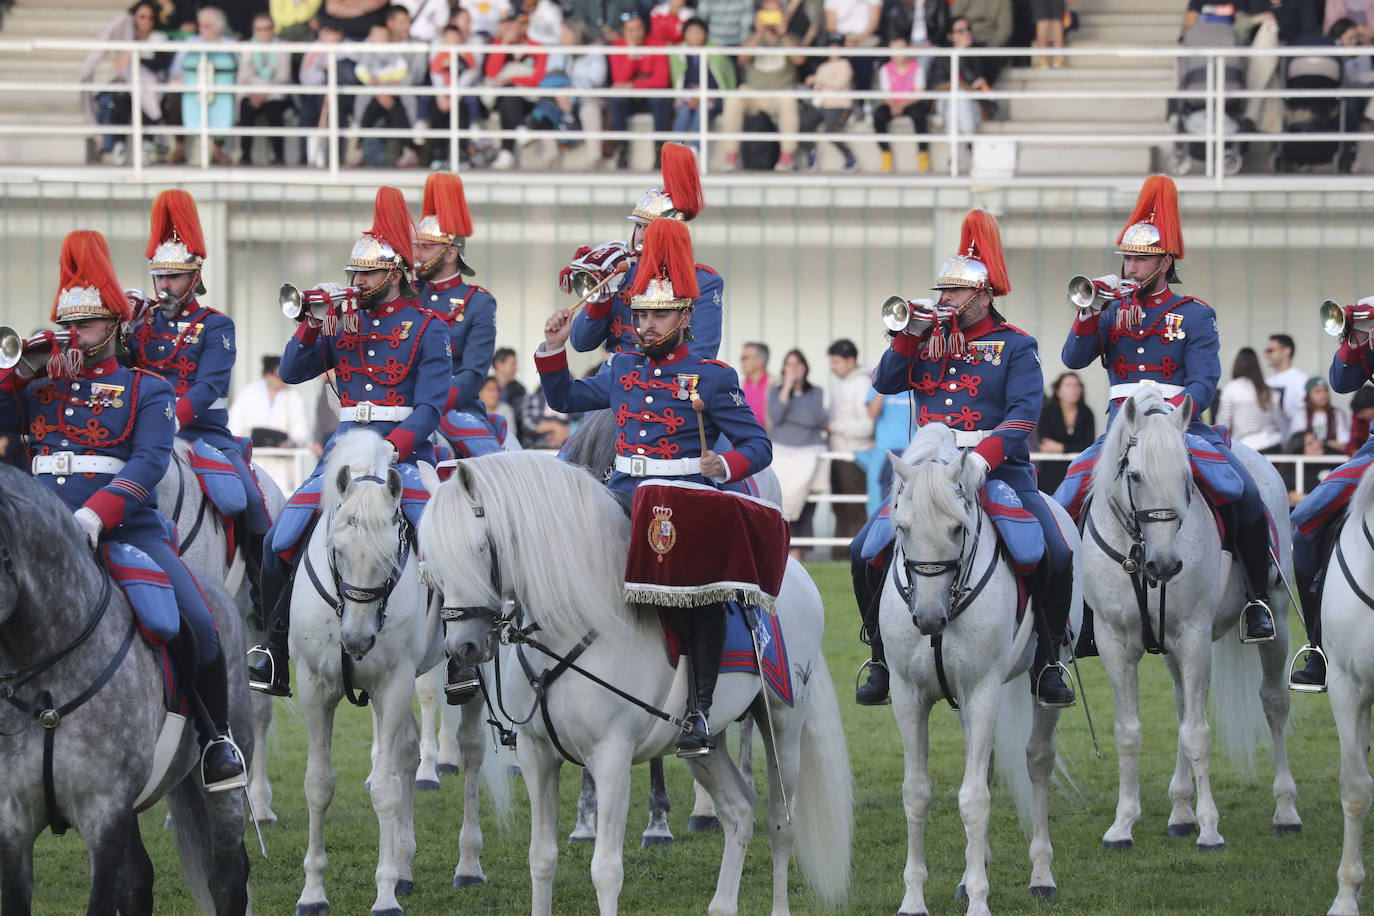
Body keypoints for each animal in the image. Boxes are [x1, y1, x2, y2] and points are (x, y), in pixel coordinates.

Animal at [287, 431, 442, 916]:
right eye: (336, 551)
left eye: (391, 555)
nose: (356, 642)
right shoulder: (314, 688)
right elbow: (318, 784)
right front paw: (312, 893)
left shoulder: (392, 684)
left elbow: (386, 790)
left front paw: (385, 894)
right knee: (408, 749)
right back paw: (406, 865)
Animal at [417, 453, 846, 916]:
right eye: (432, 560)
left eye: (479, 548)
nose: (462, 647)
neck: (572, 627)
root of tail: (796, 572)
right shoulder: (537, 754)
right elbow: (541, 857)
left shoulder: (611, 758)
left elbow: (606, 870)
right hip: (705, 743)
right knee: (739, 811)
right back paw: (722, 903)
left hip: (783, 723)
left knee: (780, 820)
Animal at [879, 428, 1082, 916]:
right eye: (902, 527)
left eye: (958, 528)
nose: (929, 619)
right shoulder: (910, 695)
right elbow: (917, 792)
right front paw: (914, 899)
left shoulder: (983, 689)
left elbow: (973, 799)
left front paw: (979, 901)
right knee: (984, 763)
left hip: (1042, 683)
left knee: (1037, 761)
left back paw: (1041, 876)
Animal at [1082, 392, 1297, 851]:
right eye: (1136, 476)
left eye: (1186, 476)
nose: (1165, 565)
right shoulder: (1114, 644)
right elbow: (1129, 732)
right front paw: (1122, 825)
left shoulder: (1194, 638)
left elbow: (1198, 733)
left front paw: (1210, 829)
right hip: (1170, 650)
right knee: (1182, 706)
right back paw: (1180, 813)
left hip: (1277, 621)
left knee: (1274, 702)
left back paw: (1286, 811)